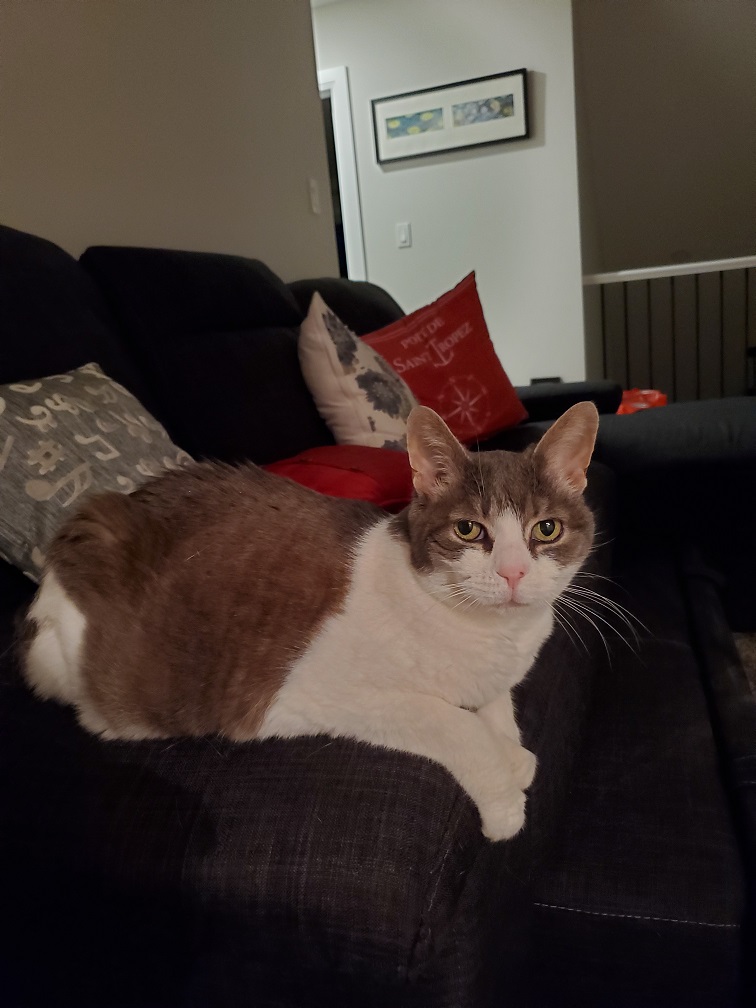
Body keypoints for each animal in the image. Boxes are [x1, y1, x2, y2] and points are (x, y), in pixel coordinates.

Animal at [19, 401, 596, 842]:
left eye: (546, 529)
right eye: (469, 530)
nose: (514, 572)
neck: (487, 633)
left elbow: (499, 709)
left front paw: (514, 752)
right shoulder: (322, 692)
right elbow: (456, 724)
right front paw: (505, 798)